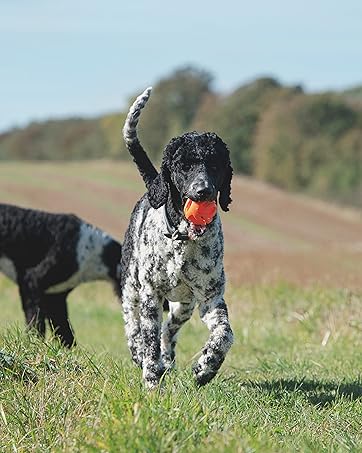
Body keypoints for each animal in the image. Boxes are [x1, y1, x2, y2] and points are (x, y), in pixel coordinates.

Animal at [121, 88, 235, 388]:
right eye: (184, 165)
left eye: (215, 164)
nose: (203, 191)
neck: (183, 240)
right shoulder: (150, 294)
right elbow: (148, 339)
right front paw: (151, 380)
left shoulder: (210, 298)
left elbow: (224, 335)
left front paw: (206, 367)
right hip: (131, 286)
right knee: (132, 323)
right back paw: (139, 353)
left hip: (183, 306)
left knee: (167, 331)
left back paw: (169, 360)